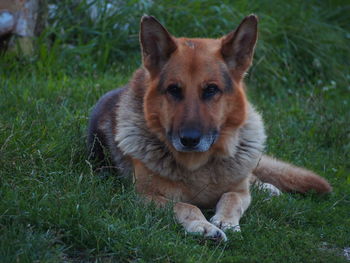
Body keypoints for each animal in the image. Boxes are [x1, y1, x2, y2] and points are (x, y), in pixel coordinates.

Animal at [87, 13, 330, 241]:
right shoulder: (144, 196)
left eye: (211, 90)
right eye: (174, 89)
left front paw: (226, 220)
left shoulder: (239, 191)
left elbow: (232, 197)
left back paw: (267, 187)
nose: (189, 140)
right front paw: (203, 226)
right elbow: (184, 205)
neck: (199, 164)